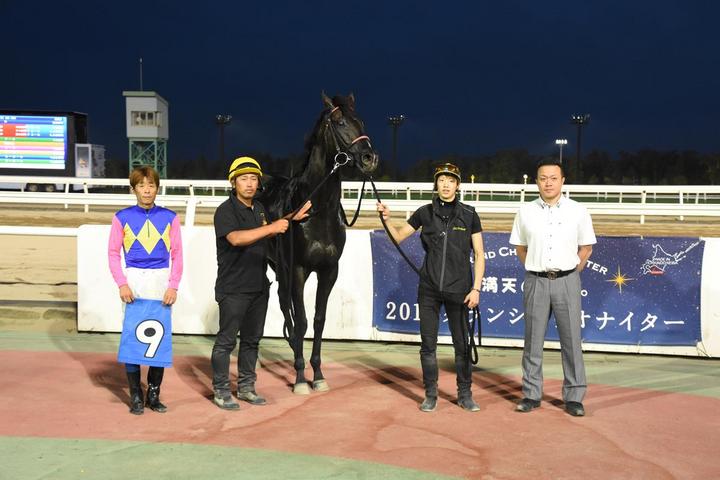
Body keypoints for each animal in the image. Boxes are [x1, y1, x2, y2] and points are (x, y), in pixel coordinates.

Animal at [260, 92, 379, 394]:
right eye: (339, 122)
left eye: (361, 121)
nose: (369, 158)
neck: (316, 209)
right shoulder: (299, 270)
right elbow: (302, 321)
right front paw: (301, 378)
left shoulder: (329, 270)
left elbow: (318, 320)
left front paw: (318, 375)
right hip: (278, 266)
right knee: (285, 306)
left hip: (280, 268)